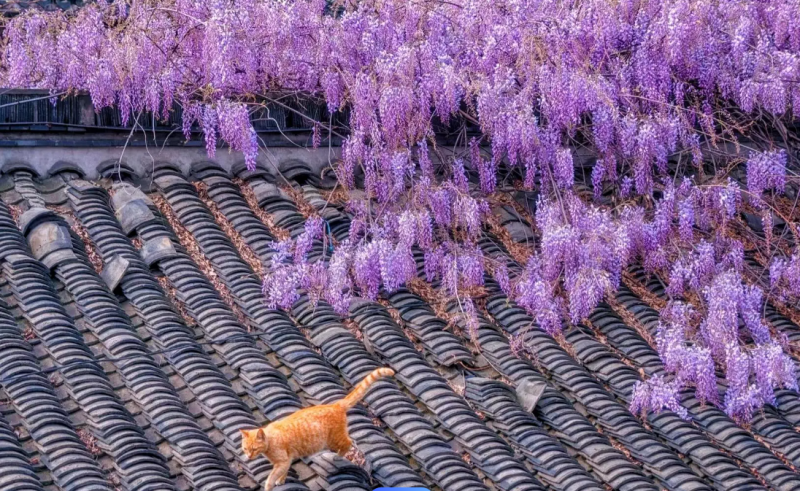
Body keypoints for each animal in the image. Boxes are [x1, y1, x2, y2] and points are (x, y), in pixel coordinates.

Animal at [242, 368, 396, 490]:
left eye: (254, 449)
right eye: (245, 449)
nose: (248, 457)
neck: (269, 442)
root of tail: (335, 405)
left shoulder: (282, 461)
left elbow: (271, 477)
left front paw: (269, 485)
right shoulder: (286, 461)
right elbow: (282, 472)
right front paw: (281, 480)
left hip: (333, 440)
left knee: (348, 443)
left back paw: (337, 456)